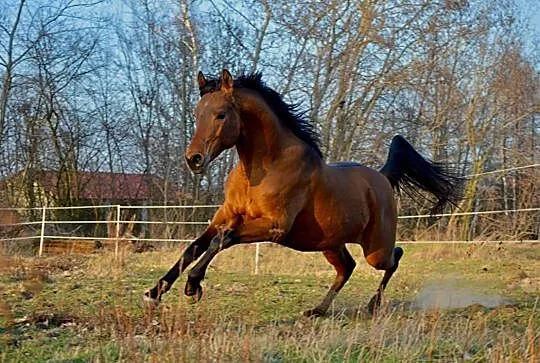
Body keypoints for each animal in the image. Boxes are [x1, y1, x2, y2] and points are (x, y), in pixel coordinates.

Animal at [144, 69, 464, 318]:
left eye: (221, 115)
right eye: (197, 114)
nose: (194, 159)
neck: (261, 170)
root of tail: (382, 177)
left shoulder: (274, 226)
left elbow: (222, 240)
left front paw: (193, 286)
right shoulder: (226, 216)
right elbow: (194, 246)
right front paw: (154, 293)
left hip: (376, 249)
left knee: (395, 257)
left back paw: (372, 306)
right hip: (329, 243)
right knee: (347, 268)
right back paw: (317, 311)